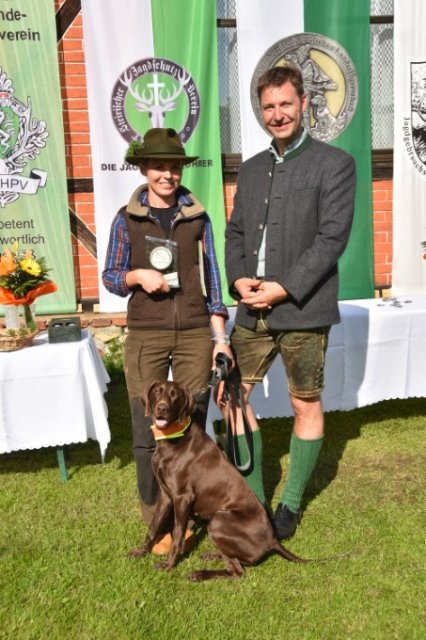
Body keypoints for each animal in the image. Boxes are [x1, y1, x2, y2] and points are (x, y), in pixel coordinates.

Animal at [130, 380, 306, 580]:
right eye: (158, 392)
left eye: (175, 395)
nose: (162, 408)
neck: (174, 438)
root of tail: (272, 541)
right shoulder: (167, 495)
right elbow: (153, 527)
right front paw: (141, 551)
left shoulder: (183, 498)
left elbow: (178, 535)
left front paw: (169, 565)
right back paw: (213, 555)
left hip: (218, 520)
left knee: (237, 571)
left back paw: (200, 574)